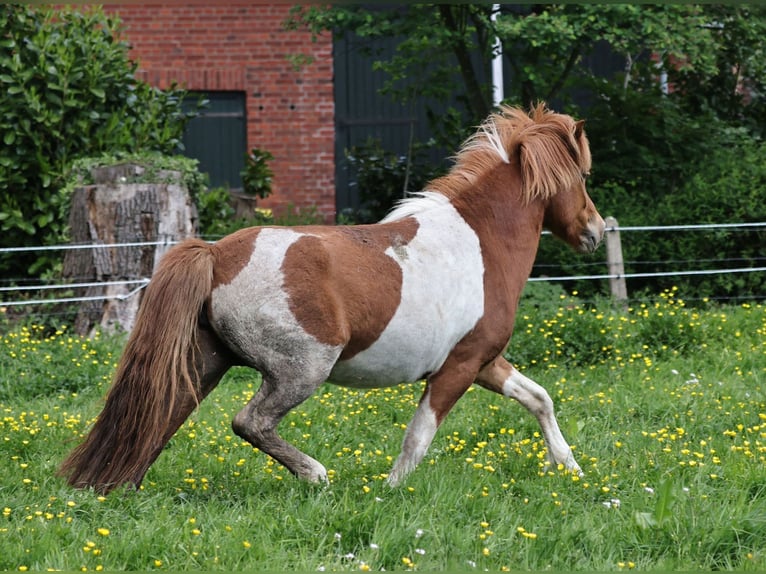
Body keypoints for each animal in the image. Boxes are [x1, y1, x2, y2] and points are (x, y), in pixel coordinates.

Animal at [58, 103, 605, 494]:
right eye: (581, 179)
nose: (597, 232)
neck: (478, 244)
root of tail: (216, 253)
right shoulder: (459, 367)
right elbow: (418, 438)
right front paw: (390, 492)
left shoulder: (484, 360)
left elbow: (539, 398)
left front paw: (571, 467)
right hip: (302, 369)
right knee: (249, 422)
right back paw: (316, 475)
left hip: (205, 361)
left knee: (160, 414)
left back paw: (119, 487)